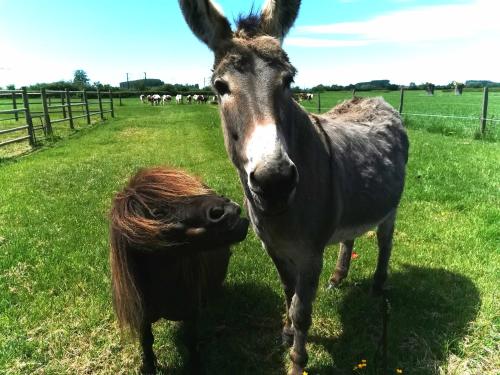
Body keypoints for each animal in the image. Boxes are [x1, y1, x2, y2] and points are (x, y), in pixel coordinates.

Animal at [111, 168, 248, 375]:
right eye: (157, 213)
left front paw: (195, 366)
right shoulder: (143, 319)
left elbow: (190, 340)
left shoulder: (190, 314)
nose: (227, 208)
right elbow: (146, 342)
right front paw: (149, 366)